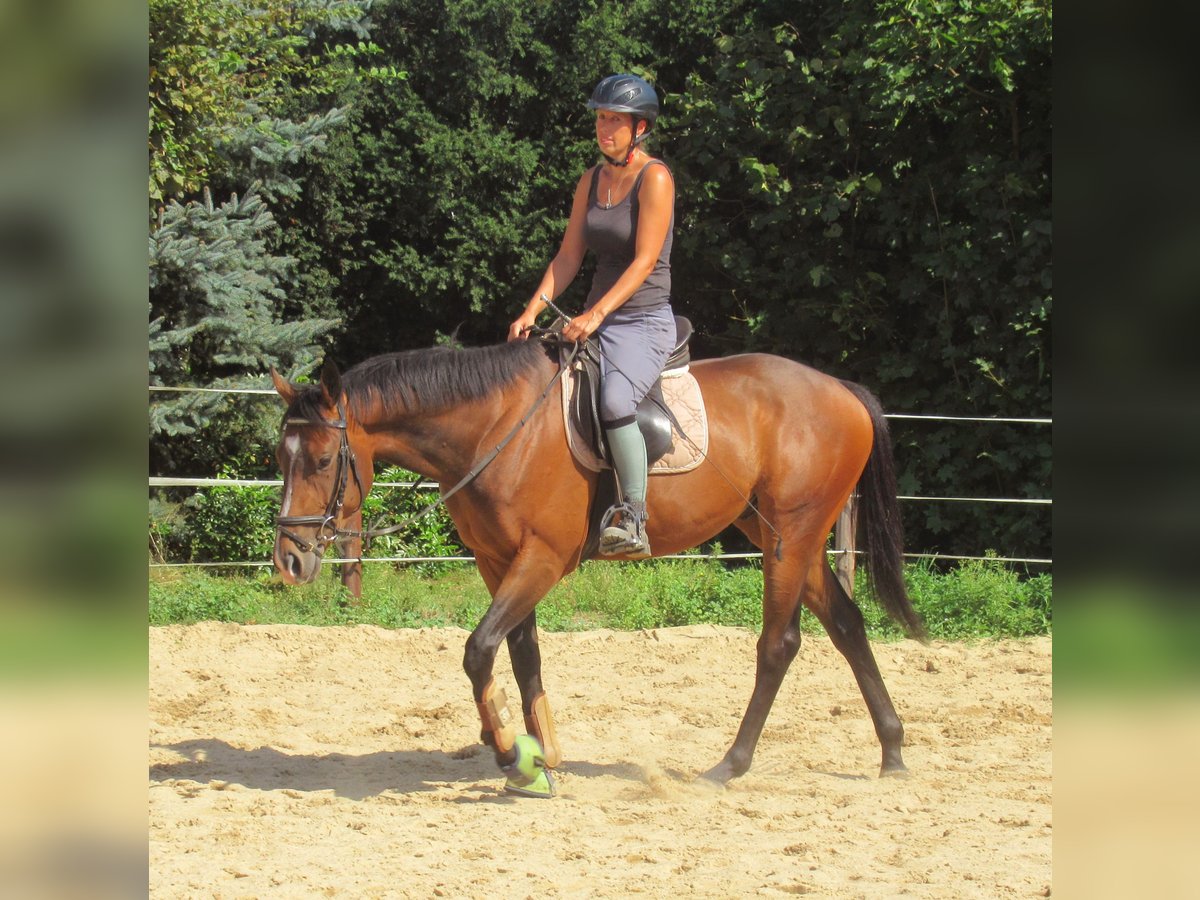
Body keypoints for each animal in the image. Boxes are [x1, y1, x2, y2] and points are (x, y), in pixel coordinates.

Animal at [270, 340, 926, 796]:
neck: (496, 429)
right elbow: (522, 652)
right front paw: (542, 754)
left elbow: (480, 650)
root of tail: (841, 389)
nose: (290, 558)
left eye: (324, 460)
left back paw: (730, 764)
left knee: (779, 644)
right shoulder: (497, 561)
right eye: (281, 457)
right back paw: (893, 753)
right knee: (847, 625)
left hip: (791, 537)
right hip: (786, 537)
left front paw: (513, 757)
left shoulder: (542, 557)